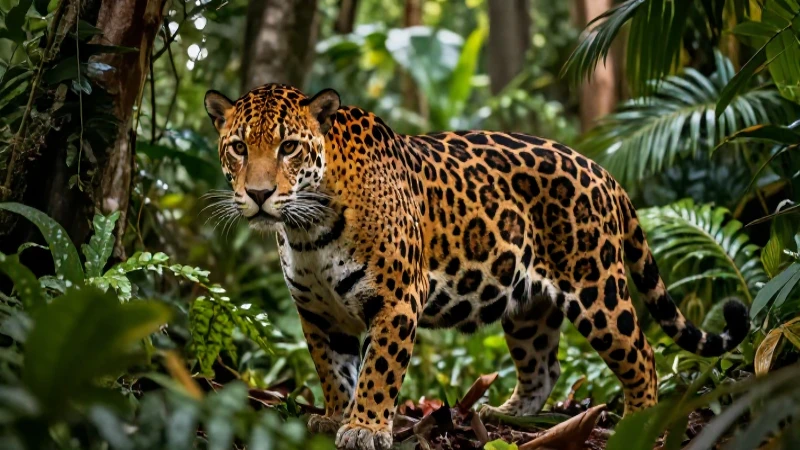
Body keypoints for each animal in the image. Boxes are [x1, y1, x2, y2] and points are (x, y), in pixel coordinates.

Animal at [204, 84, 749, 450]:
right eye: (238, 147)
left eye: (289, 147)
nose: (258, 194)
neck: (307, 230)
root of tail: (603, 171)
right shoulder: (317, 313)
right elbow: (333, 369)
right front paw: (336, 417)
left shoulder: (399, 299)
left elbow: (378, 370)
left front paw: (364, 427)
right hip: (529, 309)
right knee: (544, 367)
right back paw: (506, 414)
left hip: (597, 289)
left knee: (643, 357)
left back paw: (638, 421)